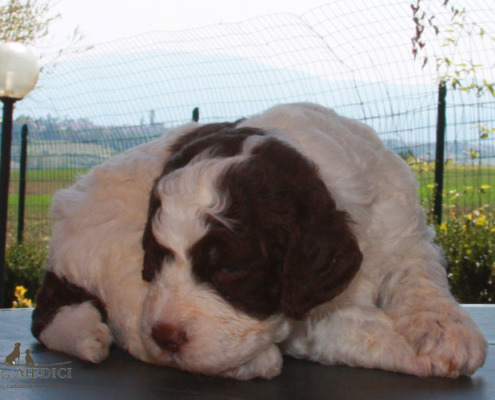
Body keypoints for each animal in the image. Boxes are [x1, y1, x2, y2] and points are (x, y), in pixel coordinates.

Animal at [32, 102, 488, 378]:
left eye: (228, 268)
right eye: (156, 259)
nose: (167, 336)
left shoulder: (404, 229)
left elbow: (422, 276)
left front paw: (447, 333)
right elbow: (358, 326)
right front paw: (411, 347)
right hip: (111, 248)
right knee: (126, 319)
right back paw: (247, 363)